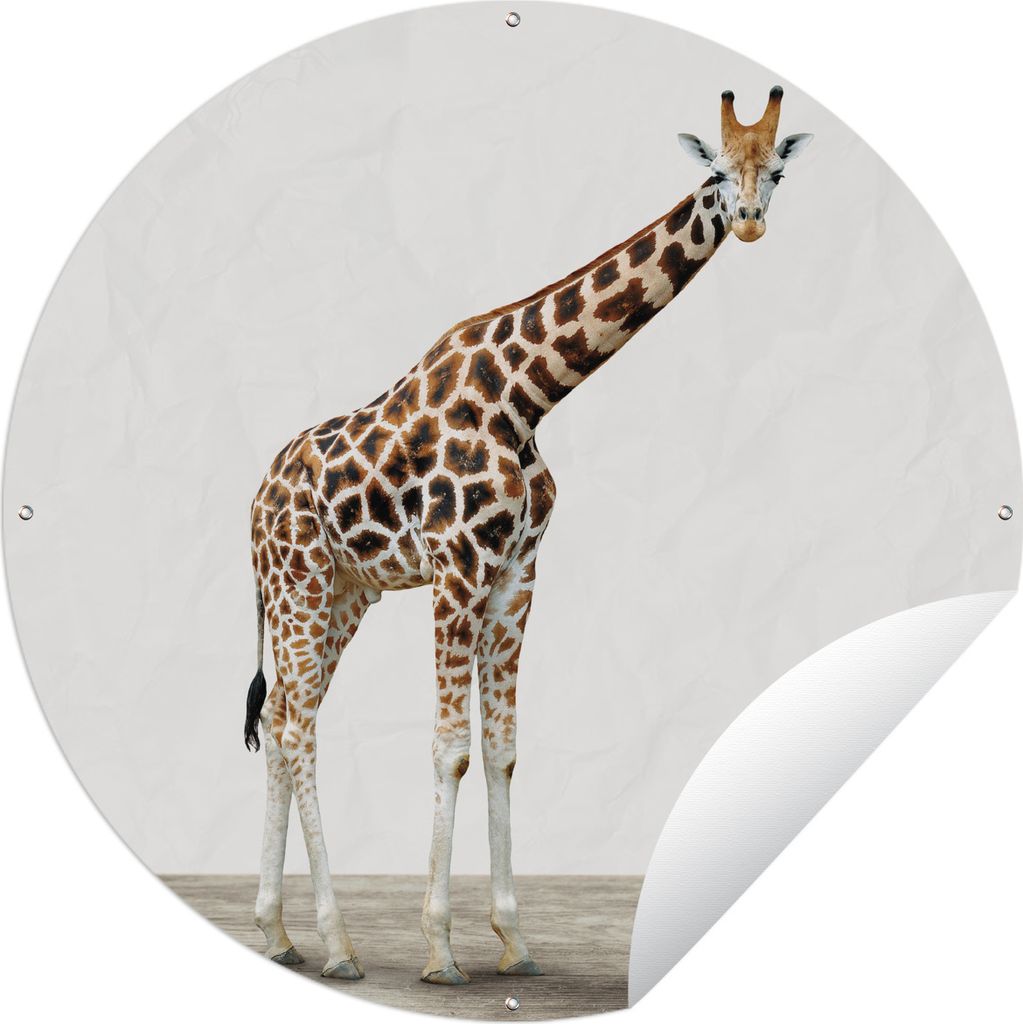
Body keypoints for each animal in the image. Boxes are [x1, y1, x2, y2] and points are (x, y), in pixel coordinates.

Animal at [243, 87, 812, 984]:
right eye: (718, 172)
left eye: (777, 171)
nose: (750, 221)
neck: (525, 394)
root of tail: (254, 500)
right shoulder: (456, 569)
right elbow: (449, 748)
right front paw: (441, 948)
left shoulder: (516, 573)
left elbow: (503, 748)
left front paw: (514, 941)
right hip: (296, 583)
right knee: (298, 727)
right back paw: (337, 944)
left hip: (343, 593)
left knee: (279, 721)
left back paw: (278, 932)